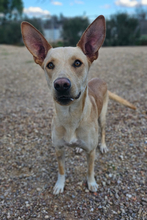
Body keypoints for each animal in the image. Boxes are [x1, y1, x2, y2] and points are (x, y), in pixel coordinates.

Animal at [20, 15, 136, 194]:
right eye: (50, 65)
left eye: (77, 63)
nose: (61, 84)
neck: (70, 117)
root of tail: (99, 79)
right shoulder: (58, 149)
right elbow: (61, 170)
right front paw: (60, 185)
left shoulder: (91, 152)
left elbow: (90, 169)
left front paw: (92, 183)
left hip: (103, 117)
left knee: (103, 132)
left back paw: (103, 145)